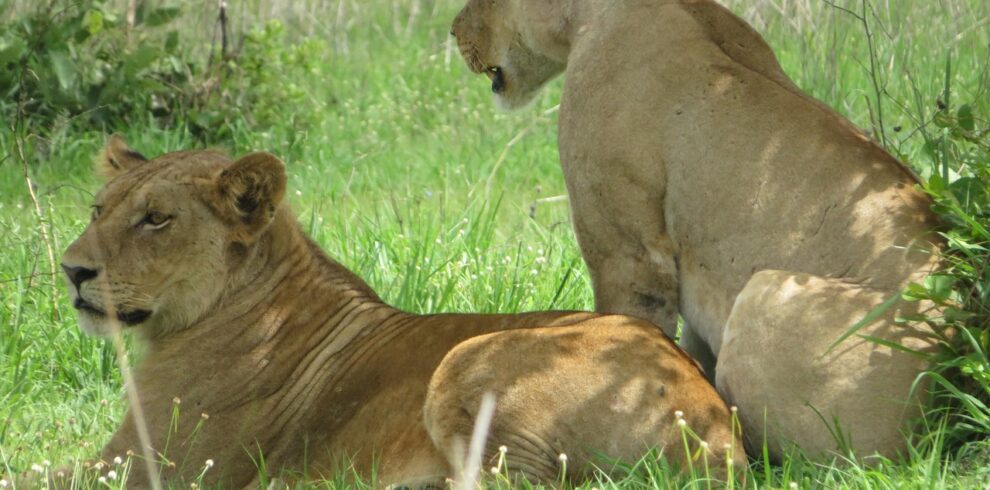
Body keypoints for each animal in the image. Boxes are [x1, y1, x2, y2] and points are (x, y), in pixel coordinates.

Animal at [53, 136, 744, 488]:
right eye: (98, 210)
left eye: (156, 219)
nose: (71, 269)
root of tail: (717, 428)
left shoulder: (154, 469)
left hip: (468, 361)